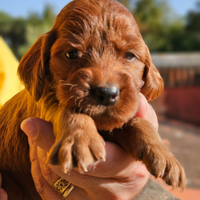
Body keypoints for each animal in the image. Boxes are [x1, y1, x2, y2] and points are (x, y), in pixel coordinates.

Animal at [0, 0, 185, 199]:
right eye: (71, 54)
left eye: (130, 55)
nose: (107, 93)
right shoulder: (43, 102)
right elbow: (67, 109)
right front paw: (80, 140)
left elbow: (135, 122)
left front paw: (164, 154)